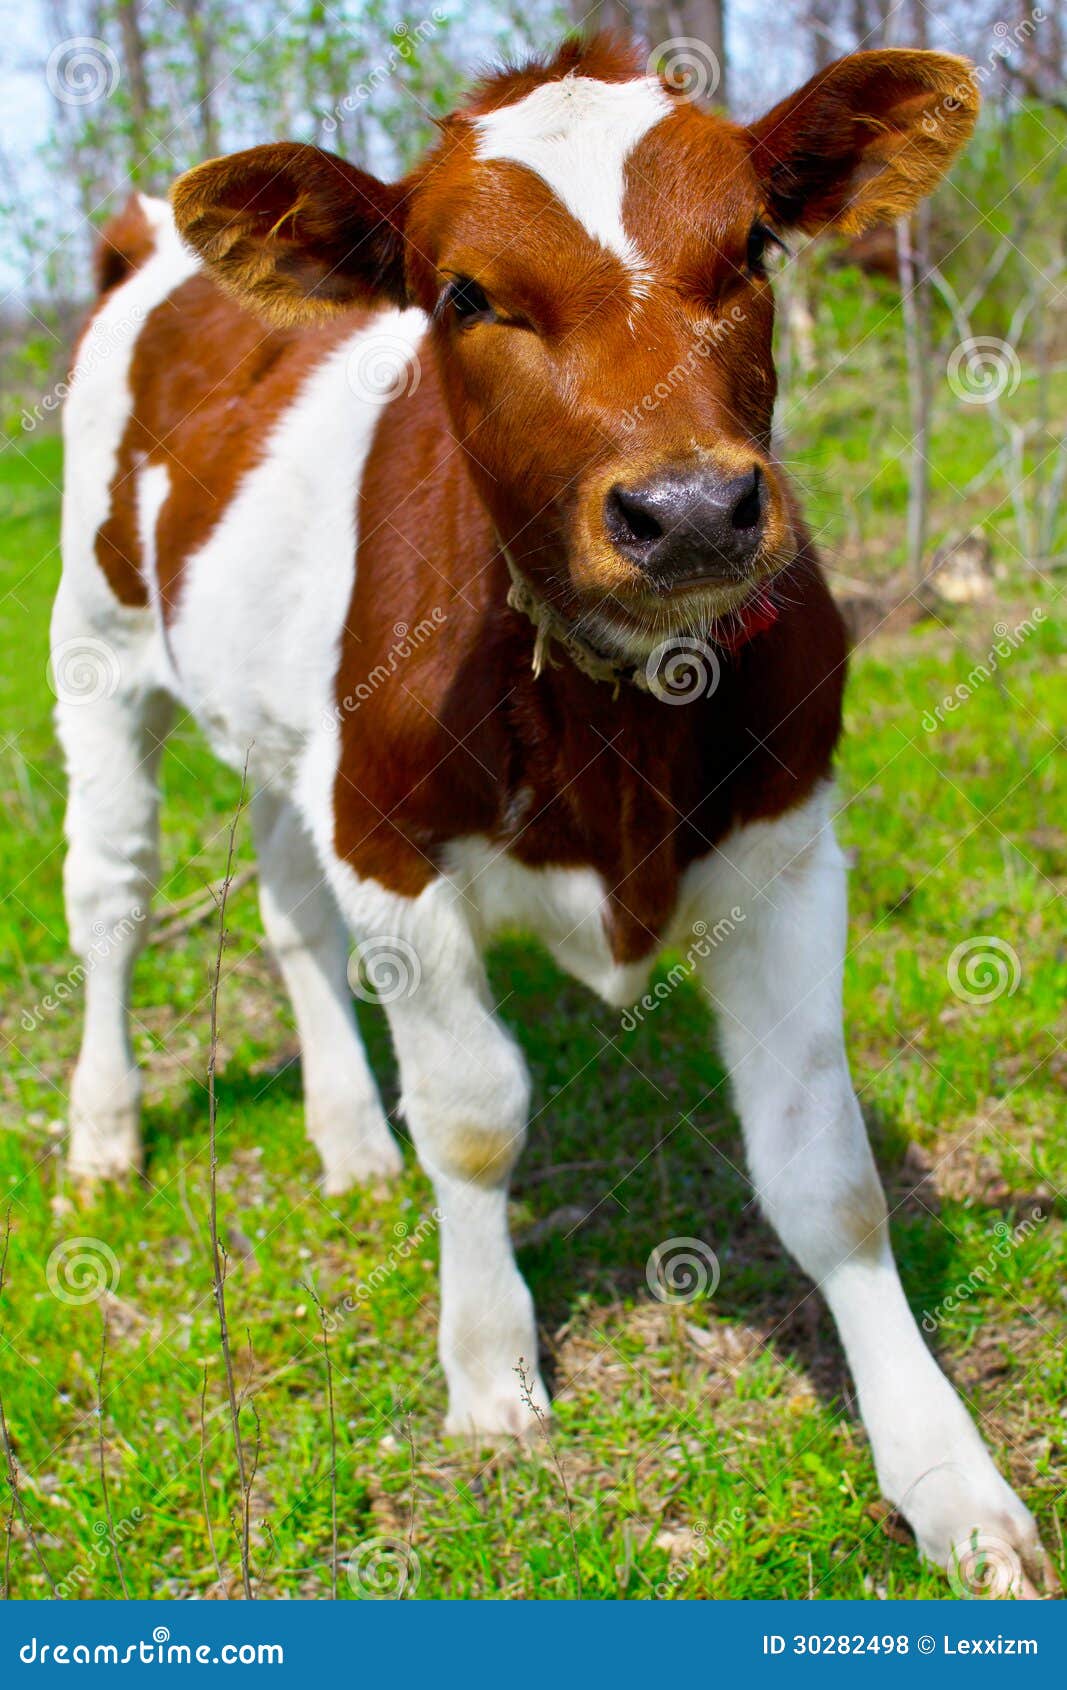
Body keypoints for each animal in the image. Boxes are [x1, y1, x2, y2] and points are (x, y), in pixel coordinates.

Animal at [54, 32, 1049, 1592]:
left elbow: (826, 1173)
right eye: (463, 293)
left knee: (285, 903)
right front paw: (488, 1367)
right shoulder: (391, 837)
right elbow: (473, 1116)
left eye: (751, 245)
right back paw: (103, 1134)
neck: (618, 707)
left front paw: (949, 1479)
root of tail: (153, 238)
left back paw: (348, 1137)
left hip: (288, 742)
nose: (689, 510)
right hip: (94, 652)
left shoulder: (786, 847)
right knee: (111, 895)